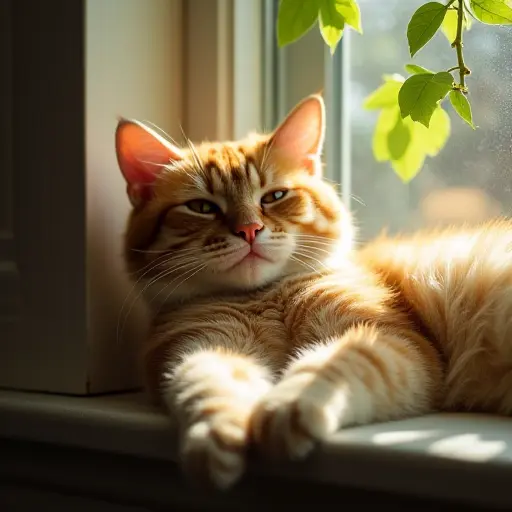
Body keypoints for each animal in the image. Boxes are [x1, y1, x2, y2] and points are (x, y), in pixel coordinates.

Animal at [116, 94, 512, 490]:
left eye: (274, 196)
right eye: (201, 207)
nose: (249, 229)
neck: (263, 298)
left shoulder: (390, 338)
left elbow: (330, 365)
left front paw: (288, 407)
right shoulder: (200, 347)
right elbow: (207, 385)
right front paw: (214, 437)